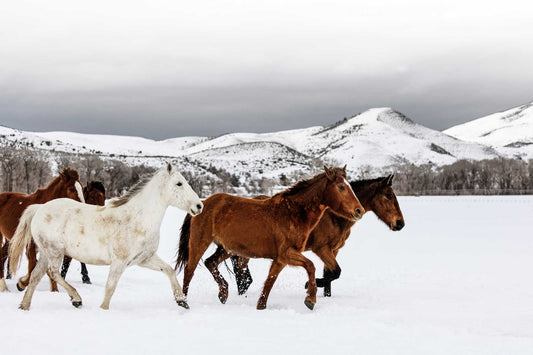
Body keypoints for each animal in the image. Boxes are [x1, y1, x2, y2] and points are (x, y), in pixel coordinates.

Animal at [9, 165, 203, 312]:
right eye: (179, 183)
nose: (199, 206)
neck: (137, 219)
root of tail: (39, 208)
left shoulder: (144, 259)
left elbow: (169, 270)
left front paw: (182, 301)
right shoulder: (119, 262)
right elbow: (110, 287)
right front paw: (103, 310)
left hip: (46, 252)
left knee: (36, 276)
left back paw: (24, 306)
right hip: (55, 251)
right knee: (53, 273)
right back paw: (76, 299)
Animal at [177, 168, 364, 312]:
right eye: (341, 187)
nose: (359, 210)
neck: (293, 213)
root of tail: (201, 203)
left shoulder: (281, 259)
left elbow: (269, 283)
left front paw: (261, 307)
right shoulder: (287, 254)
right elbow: (310, 266)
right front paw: (310, 299)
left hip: (227, 248)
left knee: (210, 262)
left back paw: (223, 293)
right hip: (199, 243)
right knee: (189, 271)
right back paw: (183, 302)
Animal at [231, 175, 406, 298]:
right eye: (389, 195)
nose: (400, 223)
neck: (334, 215)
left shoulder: (334, 250)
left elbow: (330, 274)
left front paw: (325, 295)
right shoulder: (321, 249)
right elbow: (336, 272)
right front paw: (309, 285)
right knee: (240, 271)